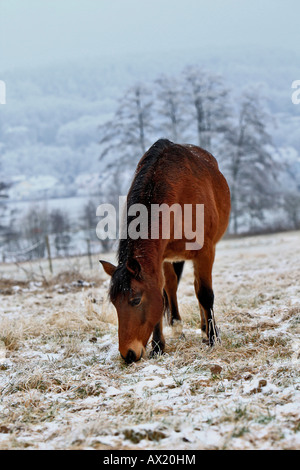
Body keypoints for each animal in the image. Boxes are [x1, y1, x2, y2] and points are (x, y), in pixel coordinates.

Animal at [99, 140, 231, 364]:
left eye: (136, 300)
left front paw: (214, 339)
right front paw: (158, 347)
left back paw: (205, 331)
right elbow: (161, 294)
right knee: (171, 286)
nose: (128, 354)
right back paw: (178, 327)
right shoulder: (159, 258)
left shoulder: (205, 252)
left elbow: (205, 294)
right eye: (115, 303)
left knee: (199, 290)